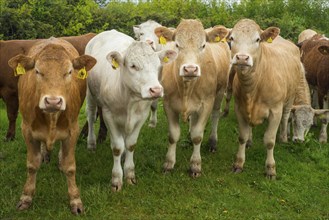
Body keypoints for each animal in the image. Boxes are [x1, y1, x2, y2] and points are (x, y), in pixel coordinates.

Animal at [7, 37, 96, 213]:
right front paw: (26, 197)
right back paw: (45, 155)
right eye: (37, 71)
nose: (53, 101)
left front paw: (75, 200)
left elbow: (70, 166)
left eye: (69, 72)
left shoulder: (73, 130)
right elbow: (32, 165)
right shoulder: (26, 130)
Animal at [85, 29, 177, 191]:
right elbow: (117, 147)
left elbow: (130, 144)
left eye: (158, 66)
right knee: (90, 116)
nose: (156, 90)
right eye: (133, 66)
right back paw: (91, 144)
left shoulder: (141, 116)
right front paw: (116, 179)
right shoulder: (109, 115)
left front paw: (129, 174)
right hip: (90, 94)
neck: (129, 99)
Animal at [154, 18, 229, 177]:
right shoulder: (168, 104)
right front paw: (169, 163)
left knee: (215, 116)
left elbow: (197, 136)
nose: (190, 69)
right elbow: (173, 135)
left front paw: (195, 164)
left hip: (220, 93)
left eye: (203, 45)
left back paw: (213, 142)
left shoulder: (206, 103)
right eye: (177, 45)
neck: (186, 88)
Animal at [229, 18, 306, 180]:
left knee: (286, 117)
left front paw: (270, 169)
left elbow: (270, 141)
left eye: (258, 39)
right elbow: (242, 136)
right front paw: (239, 163)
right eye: (231, 38)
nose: (242, 58)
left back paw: (283, 137)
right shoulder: (239, 107)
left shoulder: (275, 111)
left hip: (290, 97)